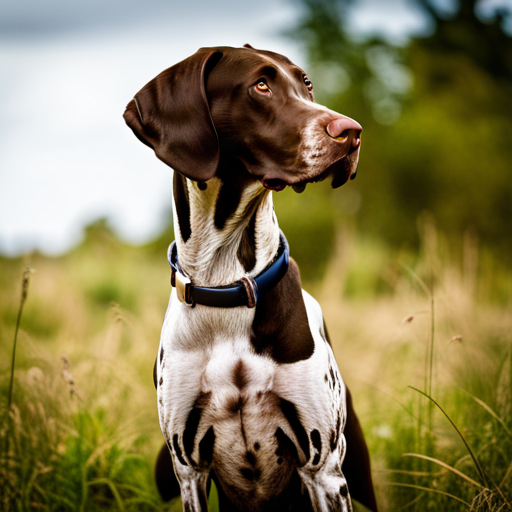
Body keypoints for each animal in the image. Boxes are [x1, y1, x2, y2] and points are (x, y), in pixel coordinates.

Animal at [124, 44, 378, 512]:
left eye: (306, 83)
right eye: (260, 86)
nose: (351, 132)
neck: (226, 283)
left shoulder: (323, 470)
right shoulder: (188, 470)